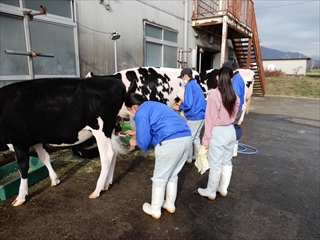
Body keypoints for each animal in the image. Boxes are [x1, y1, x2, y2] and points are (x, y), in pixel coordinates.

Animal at [0, 77, 127, 206]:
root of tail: (113, 80)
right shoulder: (37, 140)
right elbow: (44, 158)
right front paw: (55, 180)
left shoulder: (19, 141)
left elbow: (22, 167)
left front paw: (20, 197)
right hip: (109, 130)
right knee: (113, 153)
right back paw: (107, 184)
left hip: (100, 130)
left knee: (107, 155)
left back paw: (97, 190)